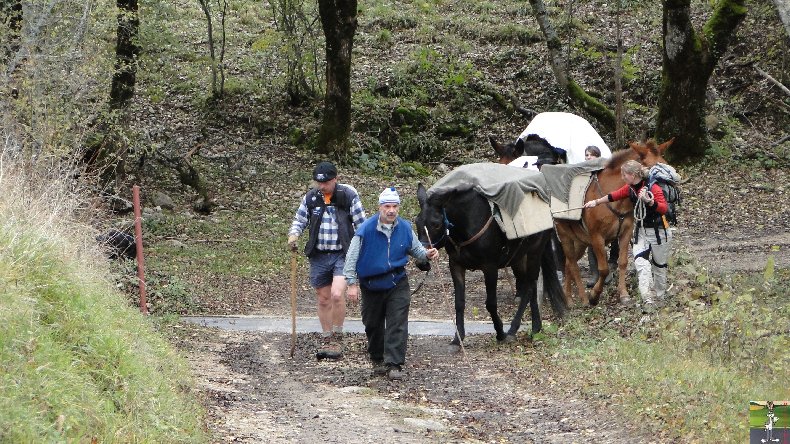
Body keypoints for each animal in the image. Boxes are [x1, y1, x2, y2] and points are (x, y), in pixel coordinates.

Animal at [418, 183, 568, 344]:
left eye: (436, 224)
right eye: (416, 221)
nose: (422, 262)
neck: (468, 223)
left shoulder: (490, 267)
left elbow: (491, 303)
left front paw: (500, 332)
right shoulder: (456, 265)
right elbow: (459, 302)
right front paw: (458, 339)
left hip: (535, 251)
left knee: (528, 288)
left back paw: (513, 330)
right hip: (519, 258)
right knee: (531, 286)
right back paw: (535, 328)